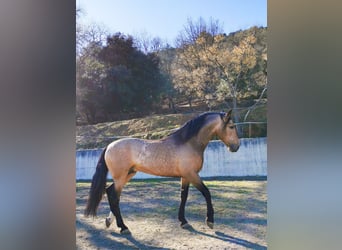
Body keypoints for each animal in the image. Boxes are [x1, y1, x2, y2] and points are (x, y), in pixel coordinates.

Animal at [85, 109, 240, 234]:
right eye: (231, 126)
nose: (236, 147)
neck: (188, 143)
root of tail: (109, 146)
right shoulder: (192, 175)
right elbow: (207, 193)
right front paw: (210, 221)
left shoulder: (185, 177)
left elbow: (183, 196)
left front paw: (183, 221)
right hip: (121, 177)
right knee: (113, 196)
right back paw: (123, 227)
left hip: (128, 175)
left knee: (111, 193)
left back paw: (109, 221)